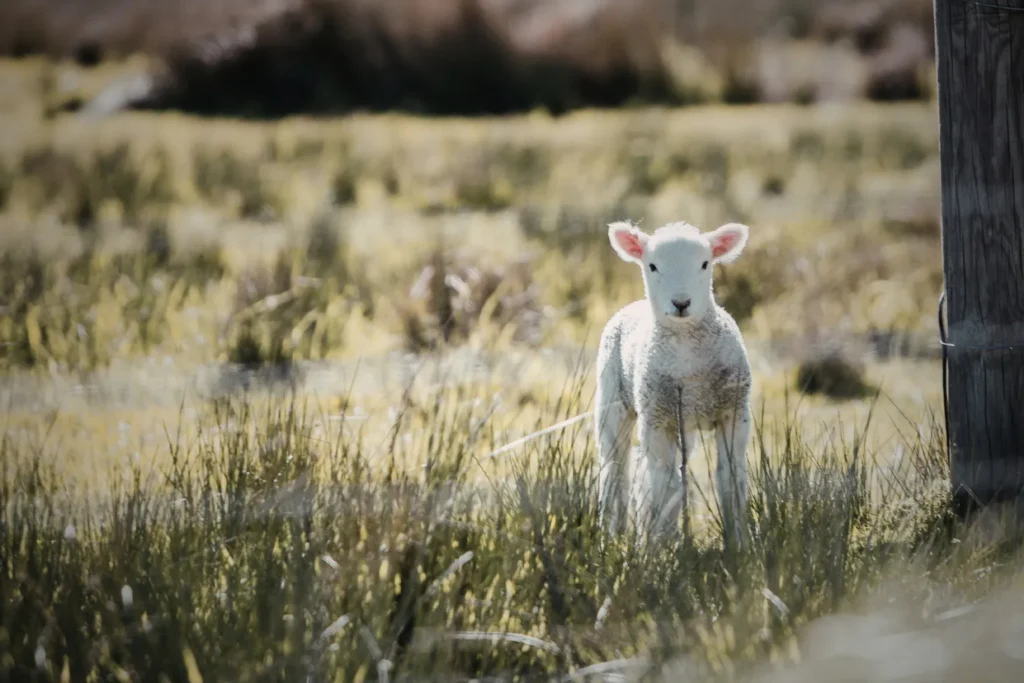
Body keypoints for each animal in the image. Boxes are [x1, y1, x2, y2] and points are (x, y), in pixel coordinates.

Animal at [594, 219, 752, 546]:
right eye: (652, 266)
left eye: (705, 263)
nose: (681, 303)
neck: (686, 357)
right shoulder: (656, 421)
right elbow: (663, 485)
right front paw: (658, 547)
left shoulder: (734, 412)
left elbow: (730, 478)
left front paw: (739, 544)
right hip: (612, 402)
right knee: (615, 471)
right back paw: (612, 537)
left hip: (684, 424)